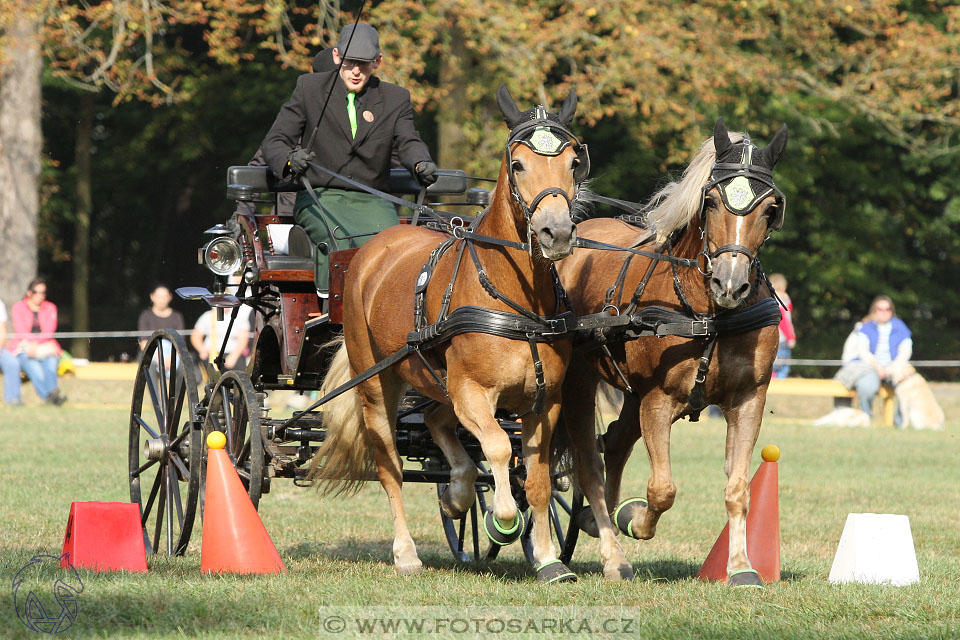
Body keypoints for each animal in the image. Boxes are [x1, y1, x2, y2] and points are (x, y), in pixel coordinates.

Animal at [312, 86, 632, 584]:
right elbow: (499, 448)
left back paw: (458, 493)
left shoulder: (544, 402)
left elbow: (538, 478)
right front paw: (502, 519)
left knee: (435, 422)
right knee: (390, 466)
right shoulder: (472, 392)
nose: (556, 232)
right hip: (378, 385)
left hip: (437, 381)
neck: (517, 300)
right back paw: (407, 552)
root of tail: (376, 246)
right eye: (517, 164)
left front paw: (548, 558)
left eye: (572, 162)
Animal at [556, 117, 788, 588]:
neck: (708, 315)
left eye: (770, 208)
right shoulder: (658, 400)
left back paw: (594, 520)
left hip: (631, 393)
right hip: (578, 382)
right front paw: (635, 520)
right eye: (711, 202)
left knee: (616, 442)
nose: (730, 284)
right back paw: (610, 547)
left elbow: (739, 489)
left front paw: (741, 567)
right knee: (589, 462)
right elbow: (661, 490)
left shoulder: (748, 400)